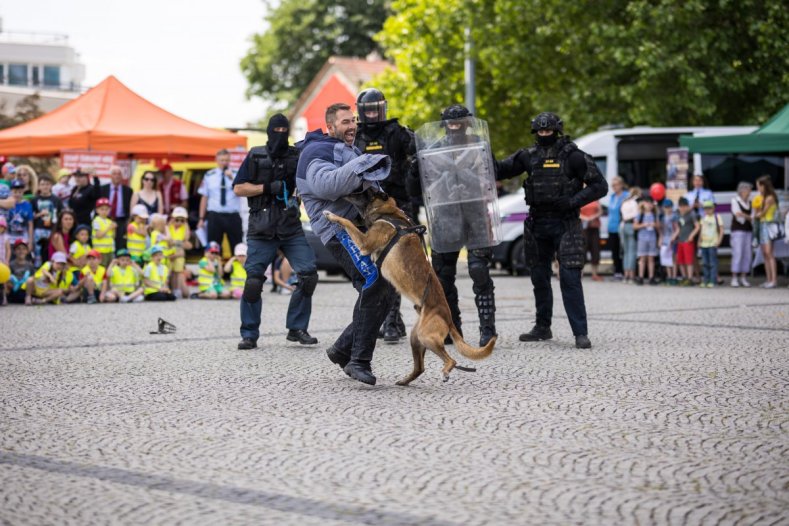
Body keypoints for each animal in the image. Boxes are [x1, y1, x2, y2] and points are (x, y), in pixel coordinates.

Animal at [320, 191, 492, 388]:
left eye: (362, 192)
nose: (346, 194)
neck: (389, 214)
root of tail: (448, 319)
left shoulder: (364, 243)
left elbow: (347, 222)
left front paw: (331, 216)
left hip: (426, 336)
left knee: (451, 360)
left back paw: (445, 372)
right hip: (415, 339)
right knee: (420, 368)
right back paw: (404, 381)